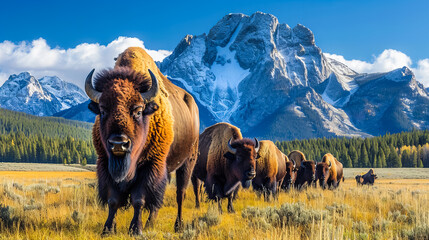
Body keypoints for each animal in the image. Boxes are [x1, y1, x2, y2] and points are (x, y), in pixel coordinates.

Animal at [87, 47, 201, 234]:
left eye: (138, 111)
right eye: (102, 110)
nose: (118, 144)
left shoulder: (150, 165)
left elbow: (139, 199)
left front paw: (135, 229)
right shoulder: (105, 163)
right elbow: (113, 200)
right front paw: (108, 228)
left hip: (187, 162)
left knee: (181, 194)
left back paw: (178, 225)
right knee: (158, 202)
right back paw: (150, 224)